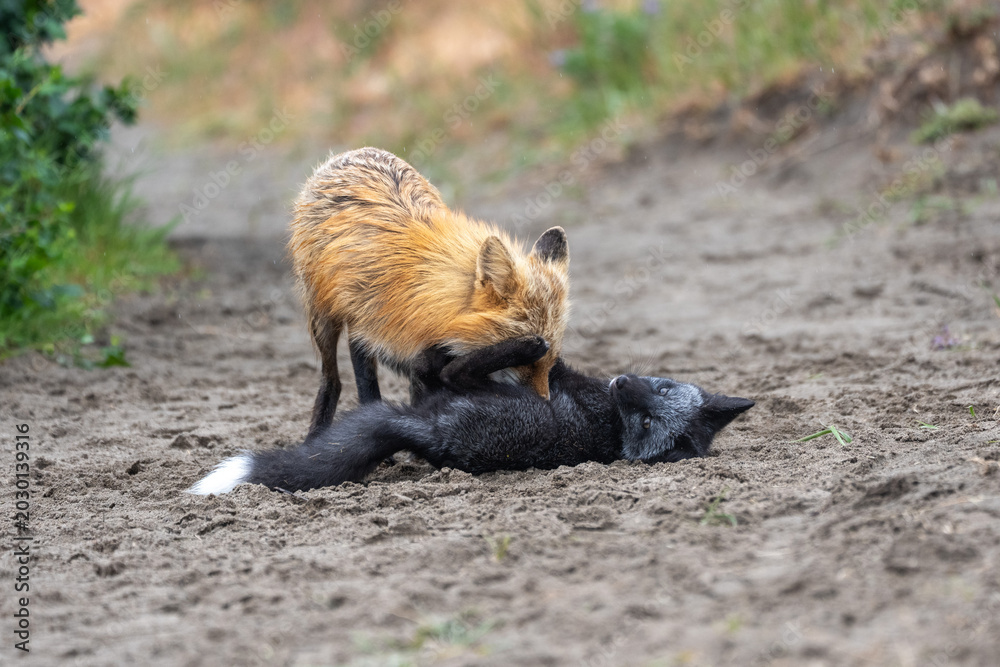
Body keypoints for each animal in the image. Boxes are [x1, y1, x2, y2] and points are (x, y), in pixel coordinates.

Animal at [189, 336, 754, 495]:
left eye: (646, 425)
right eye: (660, 387)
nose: (622, 383)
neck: (610, 427)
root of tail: (429, 436)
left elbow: (553, 361)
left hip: (465, 392)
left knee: (445, 371)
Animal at [290, 147, 570, 442]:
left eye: (551, 362)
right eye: (528, 365)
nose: (545, 405)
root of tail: (353, 152)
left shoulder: (427, 354)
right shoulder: (362, 329)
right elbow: (367, 389)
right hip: (323, 320)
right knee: (331, 380)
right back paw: (315, 433)